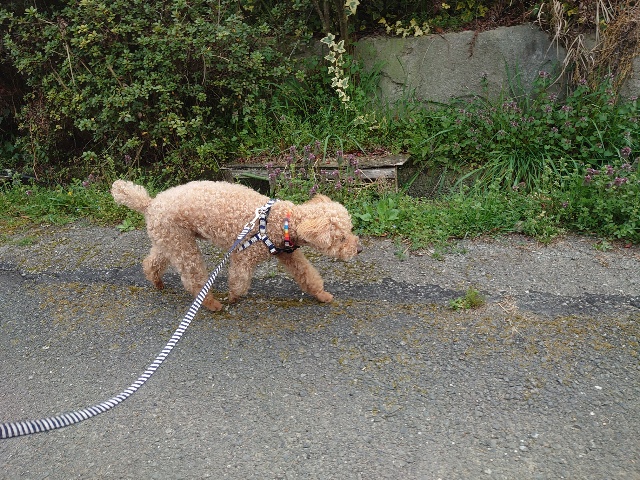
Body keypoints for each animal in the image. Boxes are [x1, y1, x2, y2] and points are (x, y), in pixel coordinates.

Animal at [111, 180, 362, 311]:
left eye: (350, 230)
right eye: (341, 238)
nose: (359, 249)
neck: (283, 221)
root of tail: (149, 203)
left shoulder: (289, 254)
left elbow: (308, 275)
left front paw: (322, 295)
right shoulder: (244, 255)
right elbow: (239, 281)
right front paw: (232, 297)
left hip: (170, 240)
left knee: (153, 261)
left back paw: (157, 281)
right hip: (182, 245)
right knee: (193, 279)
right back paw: (212, 303)